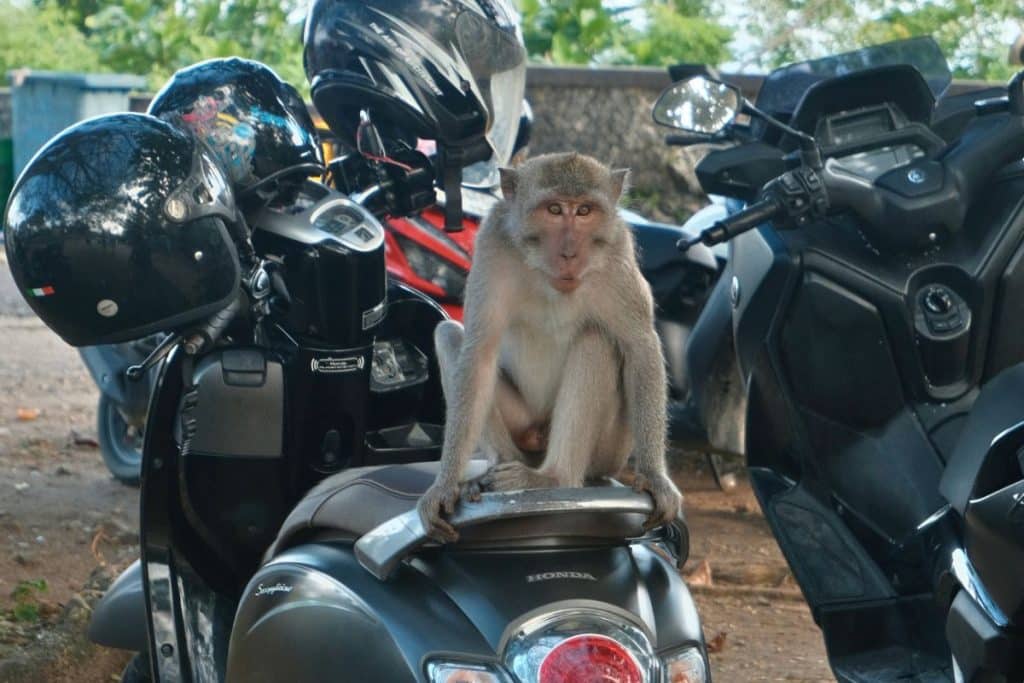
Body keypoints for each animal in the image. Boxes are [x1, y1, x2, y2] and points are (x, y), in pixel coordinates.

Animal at [417, 152, 683, 543]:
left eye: (585, 211)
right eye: (554, 209)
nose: (570, 253)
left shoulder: (617, 252)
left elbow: (640, 347)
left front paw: (655, 476)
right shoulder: (492, 243)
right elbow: (479, 354)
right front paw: (444, 484)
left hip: (610, 452)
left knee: (596, 340)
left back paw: (553, 477)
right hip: (525, 426)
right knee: (452, 336)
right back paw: (496, 471)